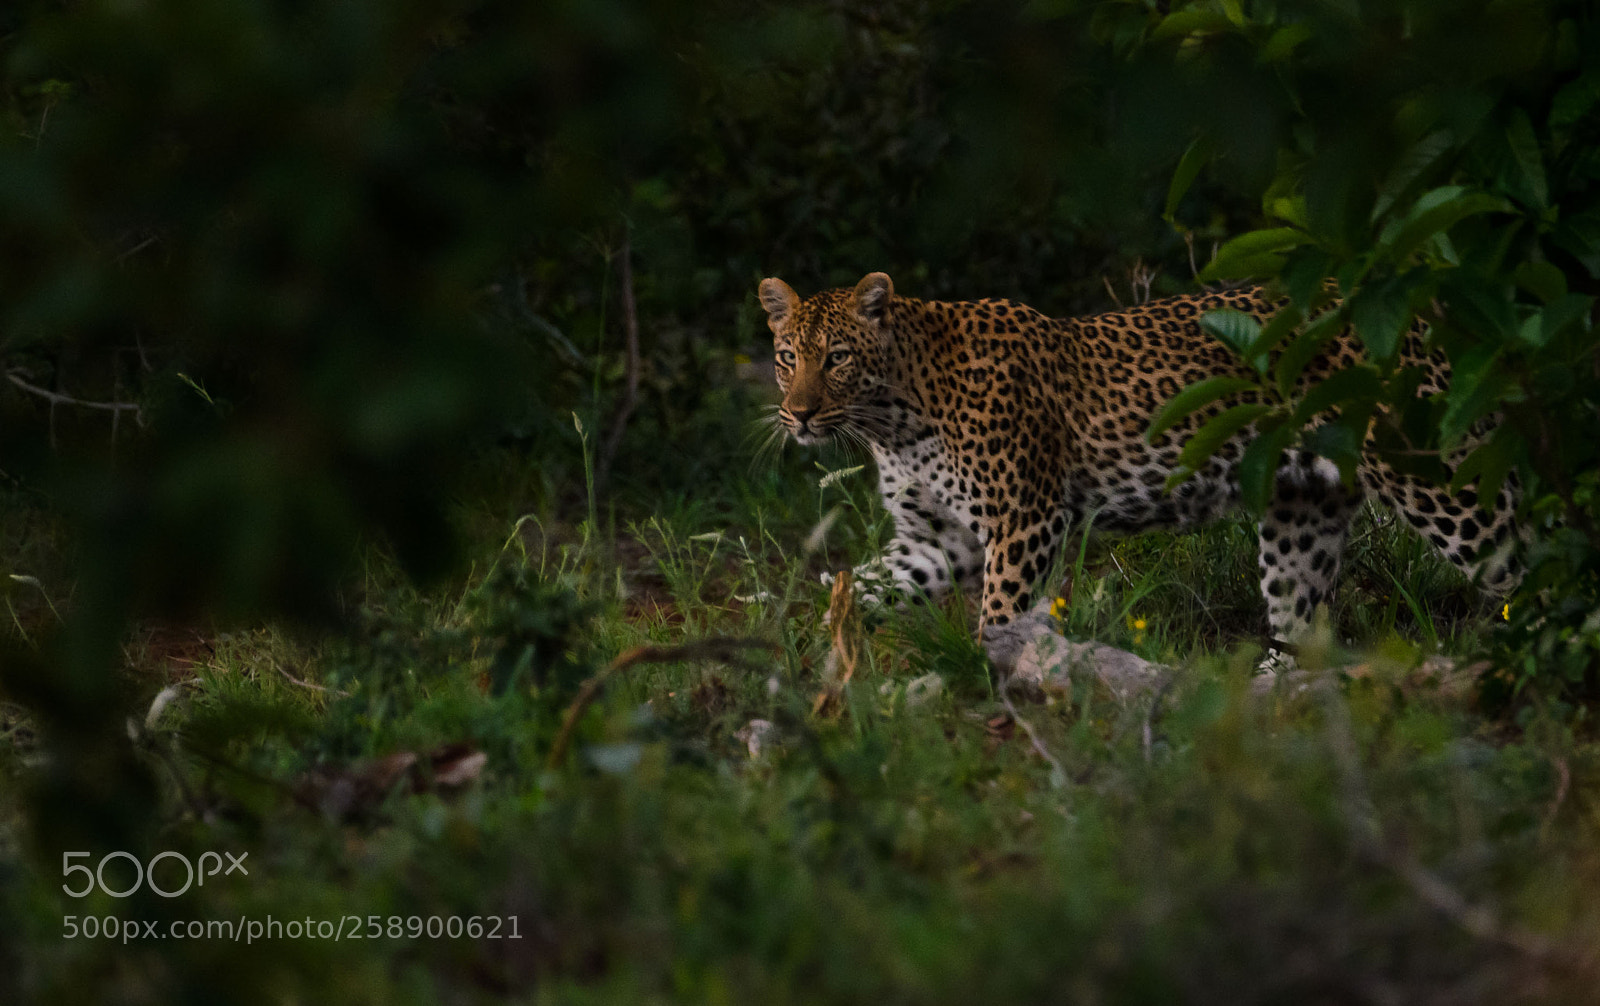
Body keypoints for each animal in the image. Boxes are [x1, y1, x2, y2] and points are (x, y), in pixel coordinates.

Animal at [758, 271, 1522, 674]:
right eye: (787, 356)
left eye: (838, 358)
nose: (797, 414)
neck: (894, 418)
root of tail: (1418, 303)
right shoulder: (939, 542)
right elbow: (861, 587)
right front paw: (805, 658)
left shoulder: (1025, 522)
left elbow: (1002, 616)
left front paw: (993, 680)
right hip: (1302, 510)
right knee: (1302, 618)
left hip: (1440, 477)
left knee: (1517, 558)